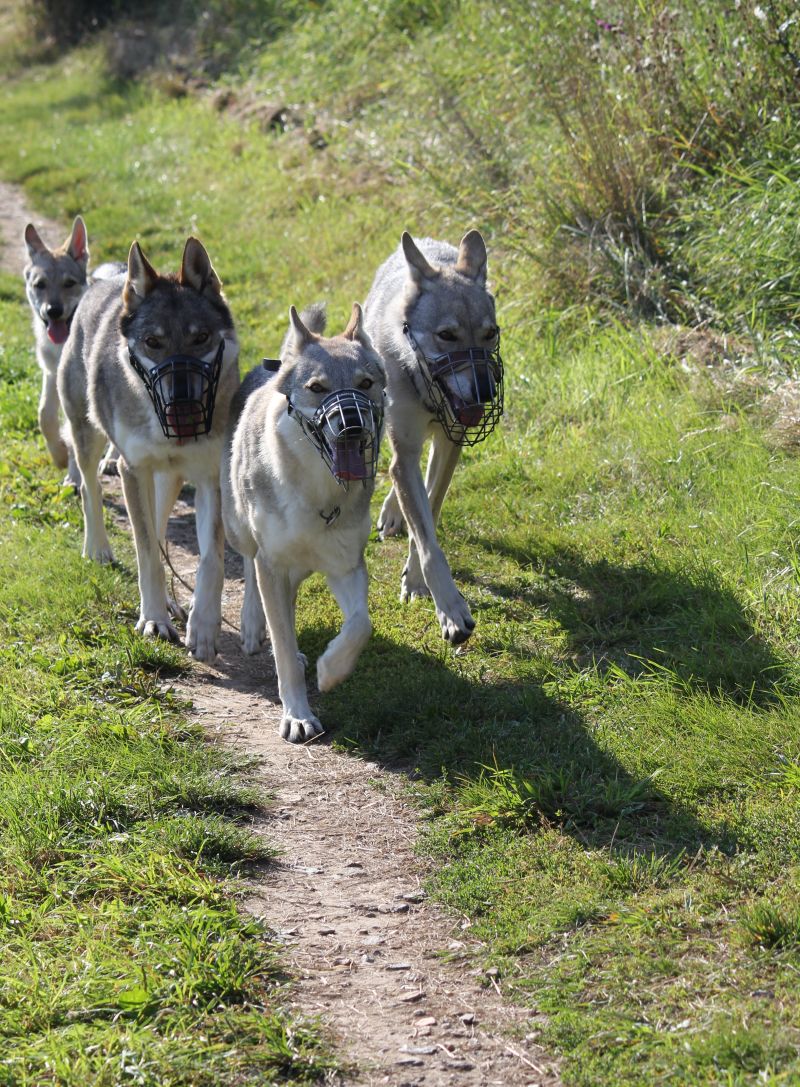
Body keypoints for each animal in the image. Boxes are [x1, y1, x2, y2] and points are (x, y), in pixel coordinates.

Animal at [58, 238, 239, 660]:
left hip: (168, 480)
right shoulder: (132, 469)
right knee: (90, 489)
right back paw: (98, 549)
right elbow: (146, 555)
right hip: (89, 438)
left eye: (201, 338)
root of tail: (103, 281)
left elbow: (211, 560)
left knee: (157, 528)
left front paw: (202, 627)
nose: (183, 409)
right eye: (153, 343)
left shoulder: (210, 478)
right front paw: (155, 620)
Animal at [221, 302, 386, 743]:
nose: (352, 424)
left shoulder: (346, 566)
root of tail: (273, 367)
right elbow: (281, 648)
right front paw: (297, 716)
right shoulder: (272, 564)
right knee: (250, 571)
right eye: (317, 388)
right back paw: (252, 626)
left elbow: (360, 625)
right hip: (240, 531)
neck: (318, 495)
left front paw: (331, 671)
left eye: (366, 384)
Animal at [363, 225, 502, 639]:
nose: (486, 391)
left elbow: (429, 515)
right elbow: (427, 539)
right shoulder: (406, 448)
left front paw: (415, 581)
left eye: (490, 333)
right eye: (447, 335)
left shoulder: (449, 443)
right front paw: (452, 611)